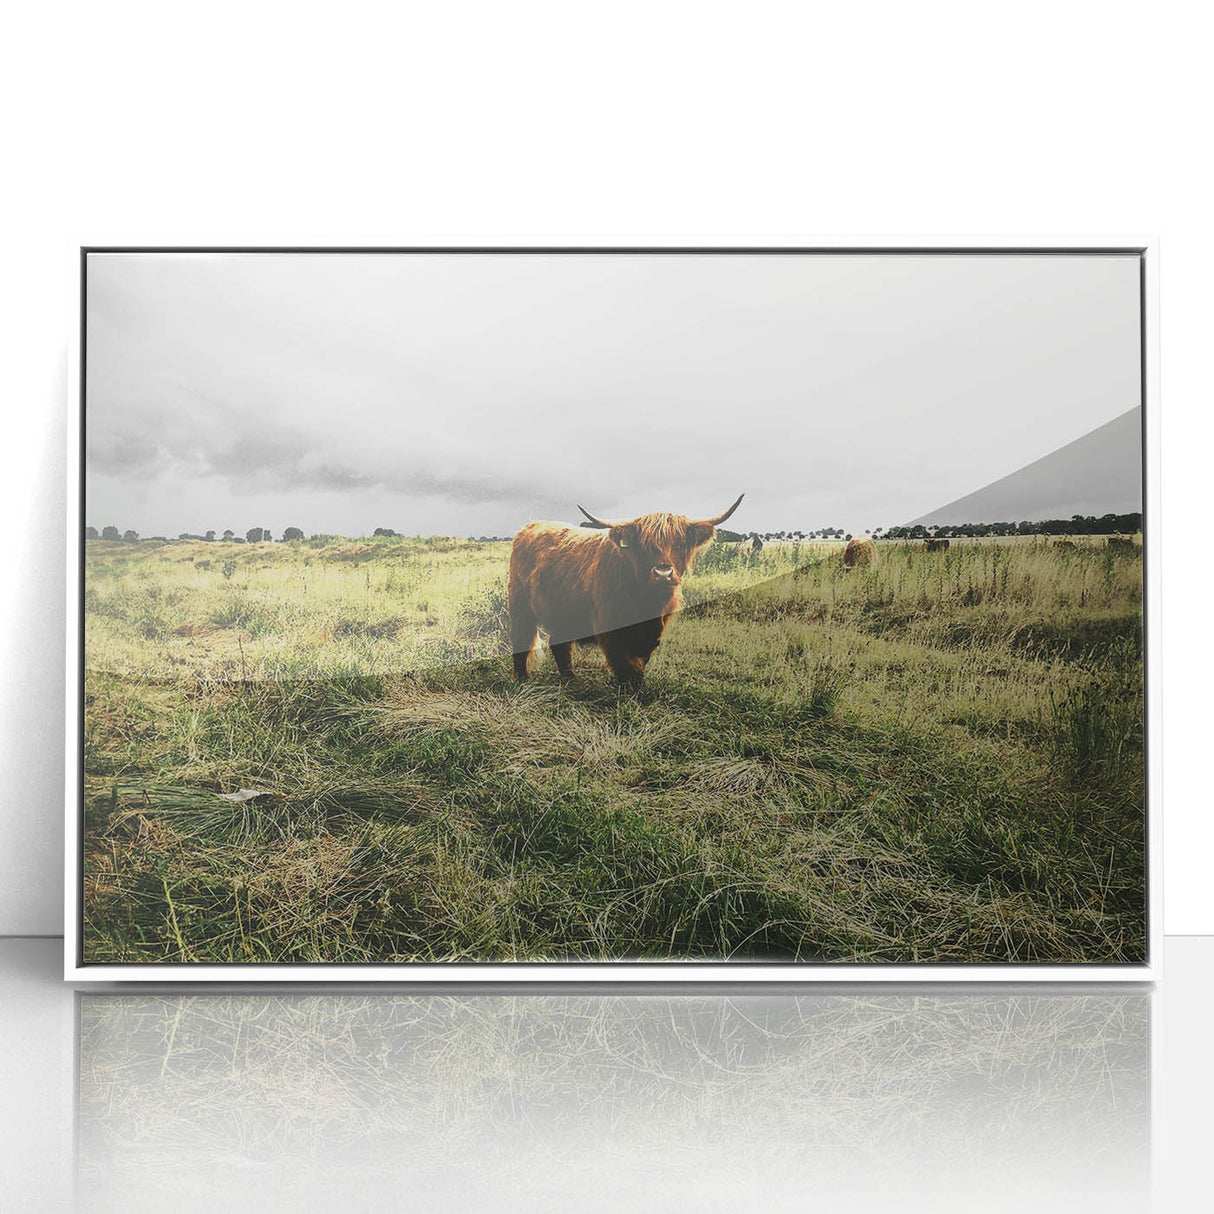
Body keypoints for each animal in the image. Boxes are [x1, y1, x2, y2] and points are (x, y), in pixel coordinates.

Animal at [509, 495, 744, 688]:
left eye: (680, 544)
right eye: (645, 545)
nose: (662, 573)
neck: (646, 602)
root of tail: (530, 526)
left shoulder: (653, 631)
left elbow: (640, 661)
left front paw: (638, 689)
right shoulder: (609, 627)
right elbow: (623, 662)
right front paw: (628, 693)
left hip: (562, 610)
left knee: (560, 644)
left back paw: (570, 679)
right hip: (520, 606)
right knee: (521, 639)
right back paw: (521, 680)